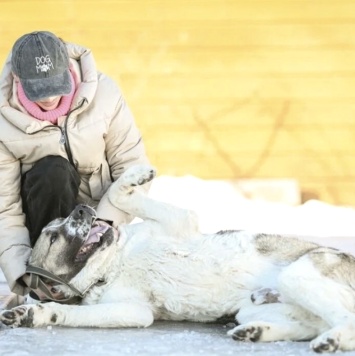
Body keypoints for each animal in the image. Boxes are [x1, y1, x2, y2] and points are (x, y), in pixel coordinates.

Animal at [0, 165, 355, 354]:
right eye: (52, 237)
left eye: (62, 221)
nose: (81, 210)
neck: (112, 265)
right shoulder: (132, 310)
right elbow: (67, 312)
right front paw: (35, 313)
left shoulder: (179, 220)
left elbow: (117, 193)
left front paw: (135, 177)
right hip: (262, 303)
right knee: (319, 323)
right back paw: (262, 332)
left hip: (298, 276)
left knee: (340, 320)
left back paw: (325, 339)